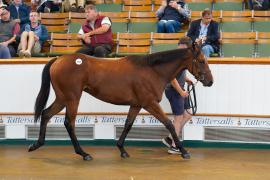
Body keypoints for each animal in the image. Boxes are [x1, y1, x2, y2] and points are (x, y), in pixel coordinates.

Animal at [27, 41, 213, 160]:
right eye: (201, 60)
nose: (210, 81)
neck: (152, 70)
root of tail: (58, 60)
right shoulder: (150, 104)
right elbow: (169, 124)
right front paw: (183, 151)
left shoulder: (136, 104)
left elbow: (127, 125)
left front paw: (122, 149)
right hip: (72, 98)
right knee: (68, 123)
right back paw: (83, 153)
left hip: (62, 98)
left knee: (46, 114)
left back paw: (36, 145)